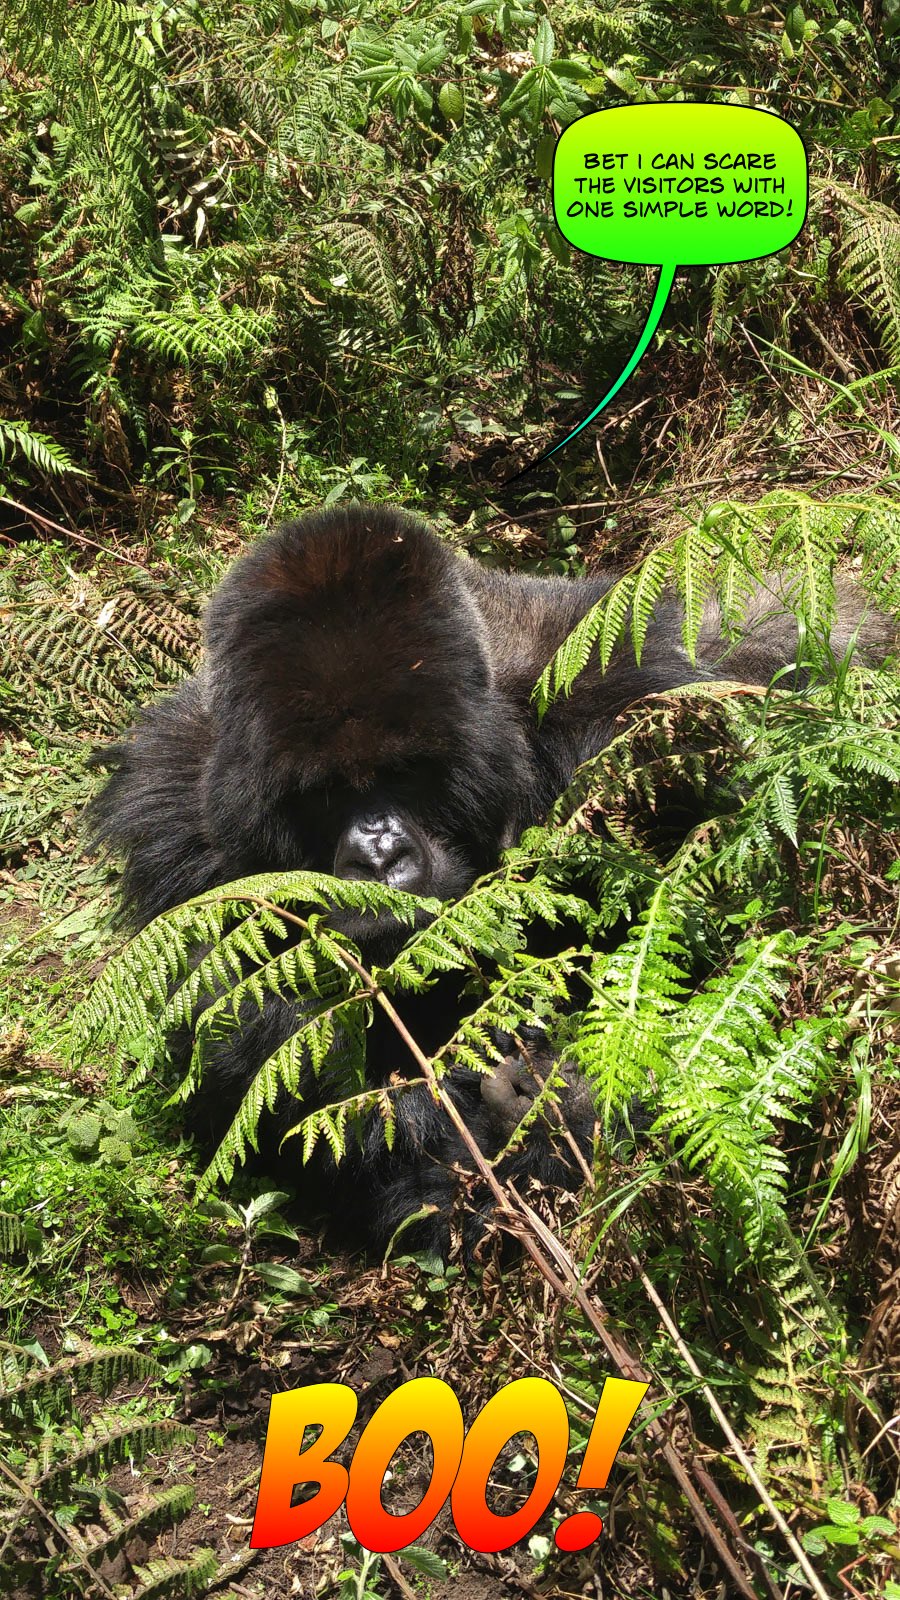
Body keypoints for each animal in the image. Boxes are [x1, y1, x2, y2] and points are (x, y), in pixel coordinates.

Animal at [87, 499, 883, 1248]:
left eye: (405, 771)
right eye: (325, 796)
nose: (379, 858)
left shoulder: (630, 687)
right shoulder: (176, 811)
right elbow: (248, 1041)